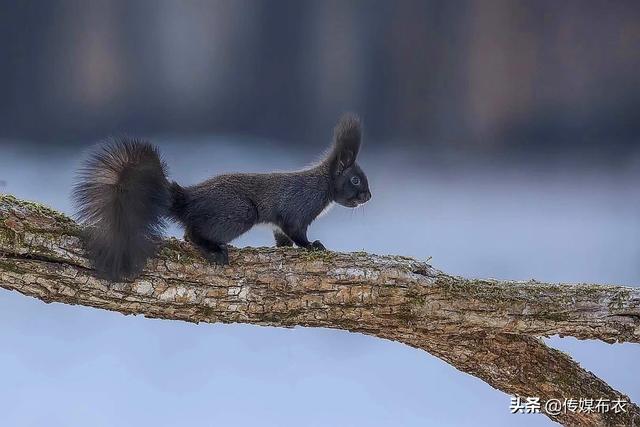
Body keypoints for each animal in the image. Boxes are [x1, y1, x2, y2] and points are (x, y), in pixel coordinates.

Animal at [73, 112, 372, 282]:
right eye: (355, 179)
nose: (369, 196)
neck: (321, 186)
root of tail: (188, 200)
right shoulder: (298, 207)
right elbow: (297, 231)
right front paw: (313, 246)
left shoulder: (279, 224)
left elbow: (282, 236)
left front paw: (286, 247)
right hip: (239, 213)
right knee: (193, 234)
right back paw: (213, 249)